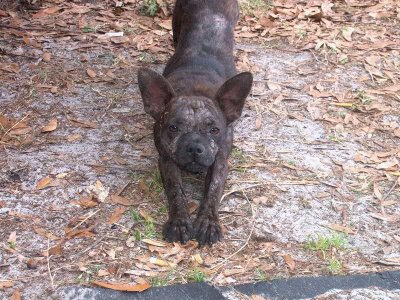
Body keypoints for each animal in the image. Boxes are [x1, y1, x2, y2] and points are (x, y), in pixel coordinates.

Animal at [136, 0, 252, 246]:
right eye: (173, 128)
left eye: (215, 130)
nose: (194, 147)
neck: (194, 89)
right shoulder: (167, 160)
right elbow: (176, 191)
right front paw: (179, 222)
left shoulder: (220, 162)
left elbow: (213, 192)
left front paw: (208, 222)